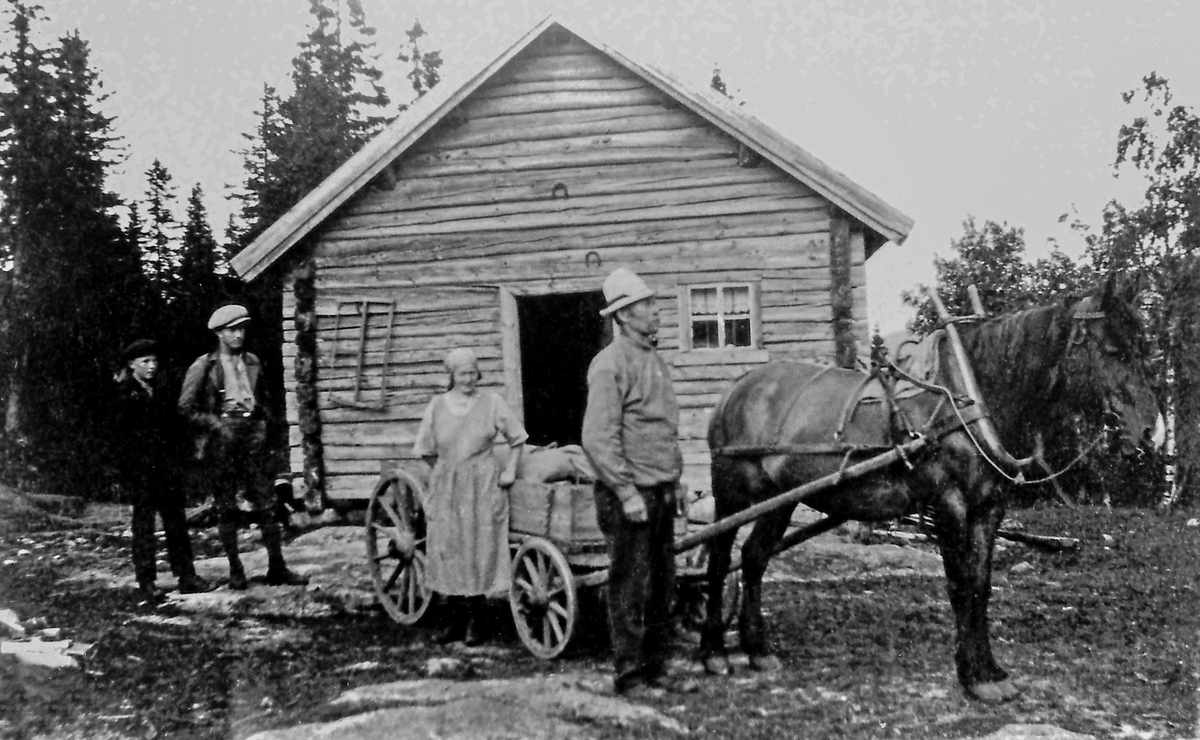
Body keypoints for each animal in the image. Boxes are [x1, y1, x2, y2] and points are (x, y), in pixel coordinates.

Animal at [700, 274, 1161, 700]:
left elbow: (980, 585)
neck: (970, 396)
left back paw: (758, 650)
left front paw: (991, 671)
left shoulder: (989, 507)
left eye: (1144, 347)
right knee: (720, 560)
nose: (1152, 431)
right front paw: (972, 676)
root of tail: (736, 389)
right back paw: (714, 653)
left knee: (754, 558)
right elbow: (959, 586)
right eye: (1113, 350)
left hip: (778, 501)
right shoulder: (948, 502)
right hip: (732, 493)